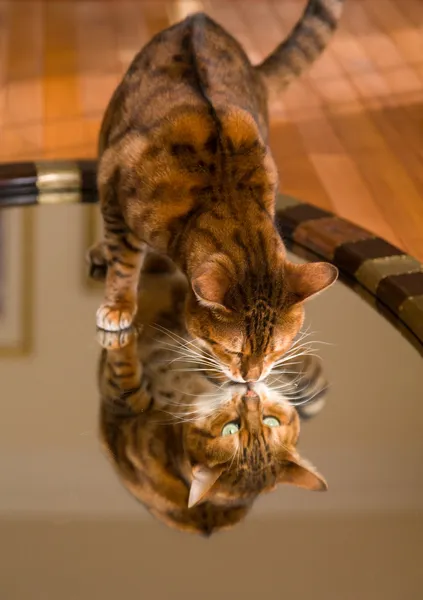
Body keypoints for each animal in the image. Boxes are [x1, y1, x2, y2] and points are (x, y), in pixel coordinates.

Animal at [90, 0, 344, 382]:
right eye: (233, 349)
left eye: (276, 350)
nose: (252, 379)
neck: (223, 193)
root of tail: (198, 20)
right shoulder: (115, 193)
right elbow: (123, 264)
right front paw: (118, 305)